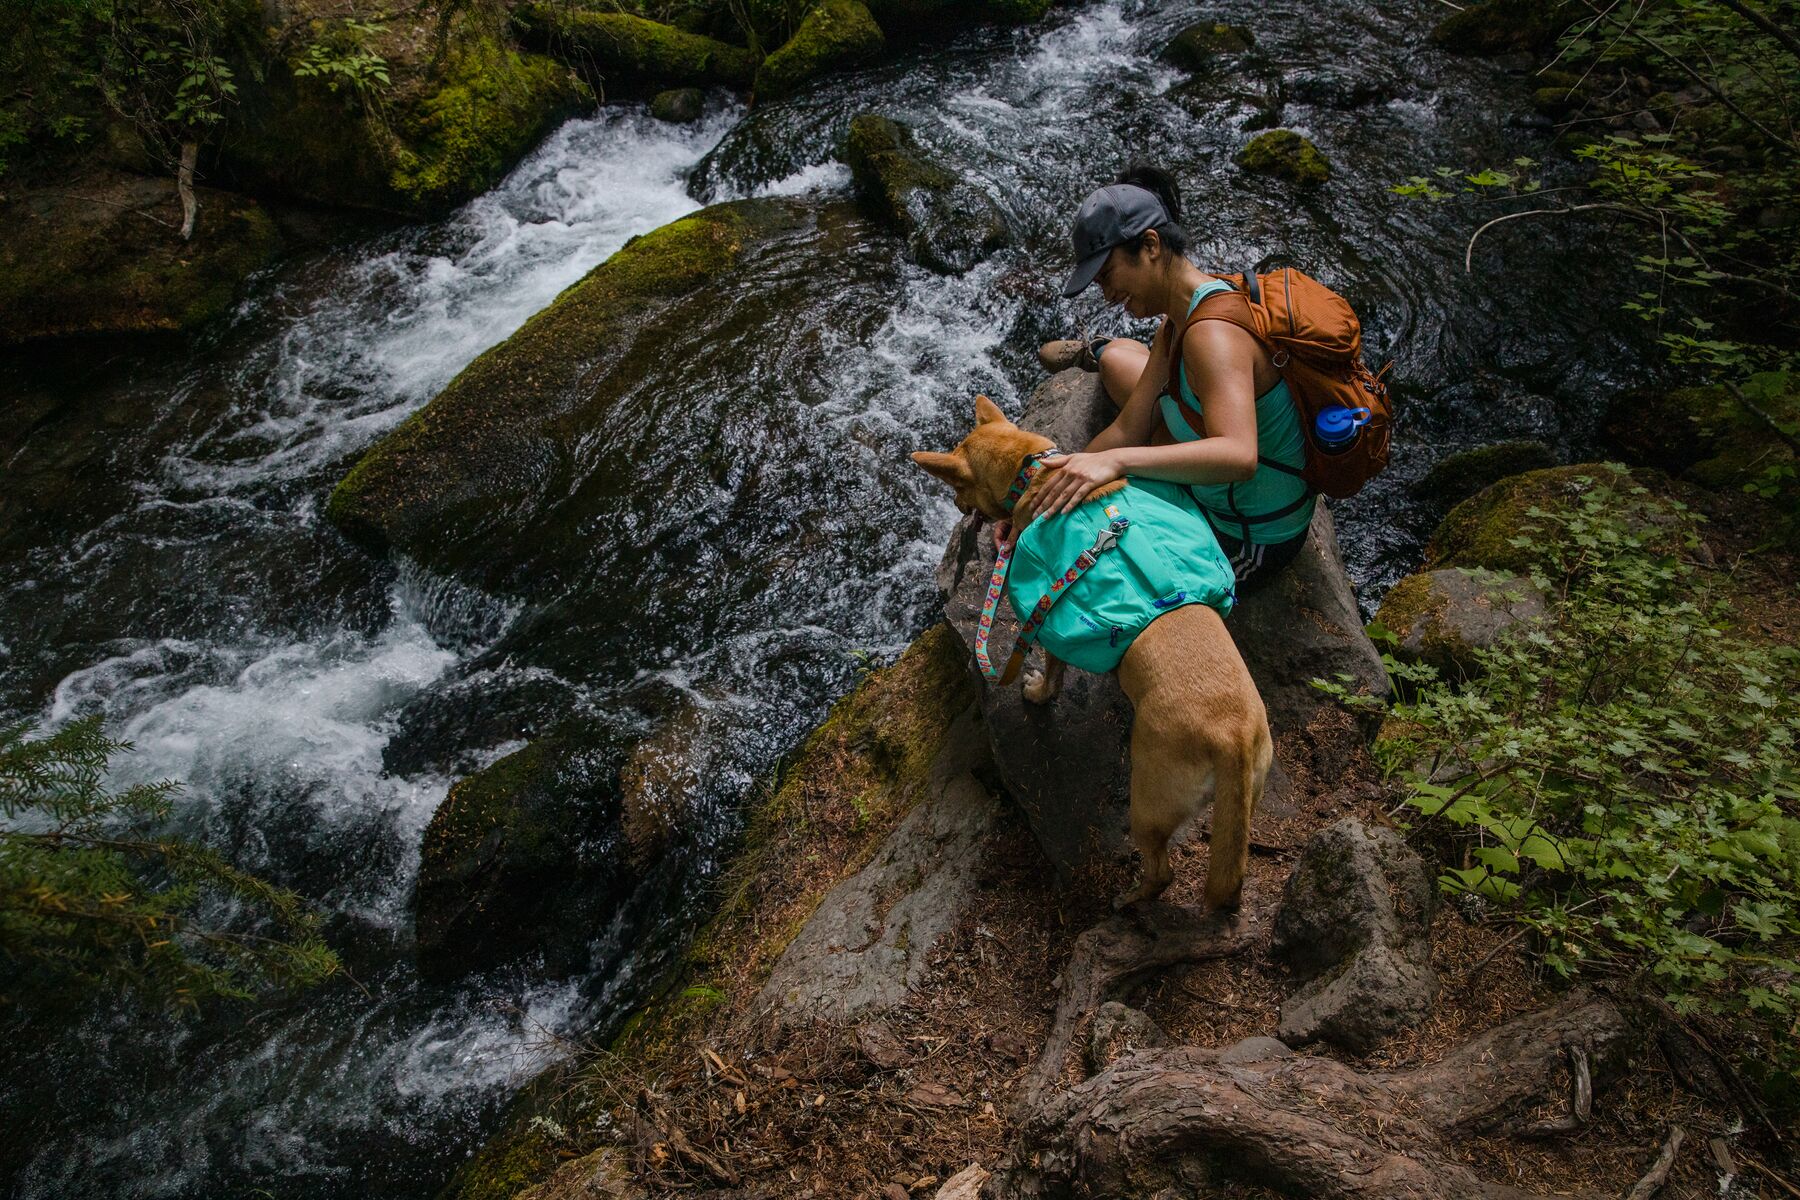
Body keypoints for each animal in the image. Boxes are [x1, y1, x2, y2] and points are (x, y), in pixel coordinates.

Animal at [921, 395, 1274, 910]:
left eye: (956, 487)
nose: (955, 507)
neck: (1033, 469)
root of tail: (1231, 739)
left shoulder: (1047, 622)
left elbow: (1051, 675)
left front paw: (1038, 693)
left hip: (1148, 805)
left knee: (1161, 871)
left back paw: (1127, 901)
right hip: (1247, 795)